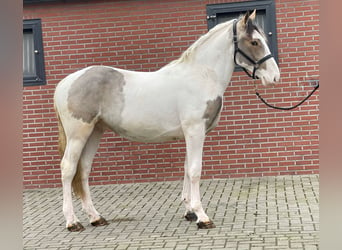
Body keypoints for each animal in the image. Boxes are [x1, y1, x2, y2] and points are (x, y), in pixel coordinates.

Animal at [52, 10, 278, 232]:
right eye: (255, 42)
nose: (275, 77)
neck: (201, 76)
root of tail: (65, 83)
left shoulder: (190, 134)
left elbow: (186, 169)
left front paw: (190, 212)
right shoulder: (195, 131)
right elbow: (195, 170)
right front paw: (202, 217)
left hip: (94, 132)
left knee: (83, 170)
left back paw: (96, 217)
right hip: (78, 135)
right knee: (68, 169)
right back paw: (72, 221)